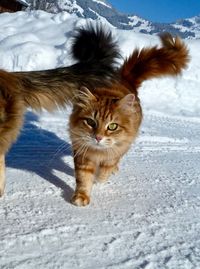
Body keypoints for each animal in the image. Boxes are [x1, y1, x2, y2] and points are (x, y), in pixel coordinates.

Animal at [70, 33, 189, 205]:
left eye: (112, 126)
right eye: (91, 122)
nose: (98, 137)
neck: (99, 153)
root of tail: (125, 79)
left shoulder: (115, 152)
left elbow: (105, 170)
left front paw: (99, 180)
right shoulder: (82, 153)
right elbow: (83, 178)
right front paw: (81, 196)